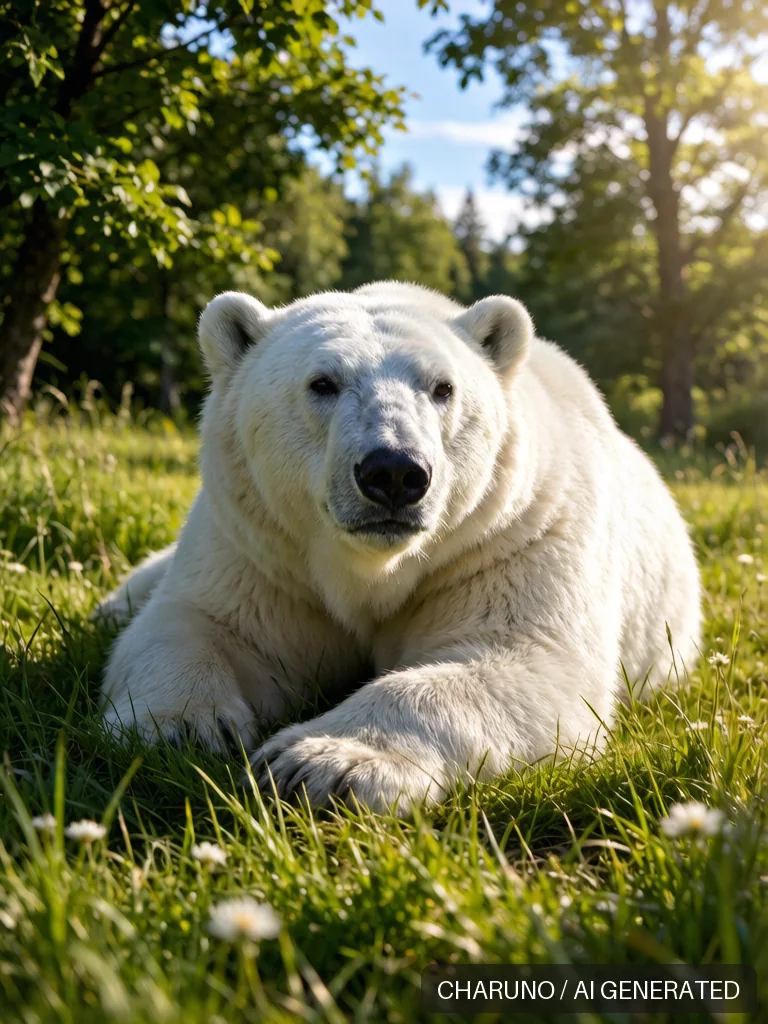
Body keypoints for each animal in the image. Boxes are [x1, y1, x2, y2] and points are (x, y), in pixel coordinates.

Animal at [99, 281, 701, 814]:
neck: (372, 569)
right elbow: (202, 623)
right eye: (322, 382)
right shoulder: (261, 550)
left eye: (443, 388)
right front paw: (187, 726)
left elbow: (525, 659)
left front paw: (315, 763)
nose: (393, 471)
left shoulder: (514, 535)